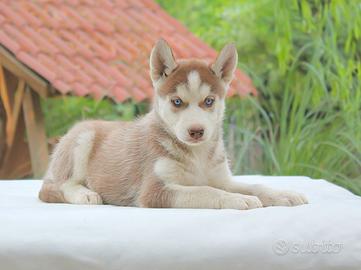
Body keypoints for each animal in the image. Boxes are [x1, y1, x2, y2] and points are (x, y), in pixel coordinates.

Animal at [39, 39, 306, 209]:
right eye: (177, 101)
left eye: (209, 101)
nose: (196, 131)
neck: (198, 155)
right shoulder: (155, 191)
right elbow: (205, 191)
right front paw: (236, 200)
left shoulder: (223, 179)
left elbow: (255, 185)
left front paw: (283, 194)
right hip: (82, 139)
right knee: (55, 186)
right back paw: (86, 194)